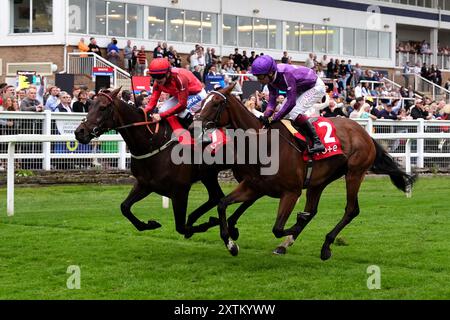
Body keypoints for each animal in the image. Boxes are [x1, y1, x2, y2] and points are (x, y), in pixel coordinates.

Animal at [73, 89, 232, 239]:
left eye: (103, 107)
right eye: (89, 105)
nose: (79, 132)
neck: (153, 141)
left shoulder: (180, 190)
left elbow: (181, 227)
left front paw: (214, 224)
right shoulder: (145, 184)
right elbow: (124, 207)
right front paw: (150, 224)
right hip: (208, 176)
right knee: (216, 197)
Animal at [197, 85, 418, 260]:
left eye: (216, 103)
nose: (196, 119)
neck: (263, 144)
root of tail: (365, 133)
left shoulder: (290, 192)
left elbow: (277, 227)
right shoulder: (254, 186)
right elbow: (222, 204)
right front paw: (231, 244)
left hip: (355, 173)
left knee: (351, 210)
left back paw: (326, 246)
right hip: (319, 181)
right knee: (313, 210)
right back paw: (286, 244)